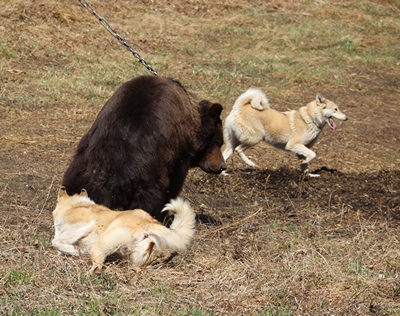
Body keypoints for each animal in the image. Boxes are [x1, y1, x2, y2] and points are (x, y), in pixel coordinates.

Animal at [52, 186, 196, 272]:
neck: (75, 205)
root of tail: (148, 222)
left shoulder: (83, 225)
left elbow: (56, 242)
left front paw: (73, 251)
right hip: (137, 256)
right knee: (139, 267)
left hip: (99, 246)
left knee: (97, 267)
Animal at [62, 75, 225, 221]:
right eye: (219, 142)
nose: (222, 166)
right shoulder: (179, 151)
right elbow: (175, 182)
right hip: (147, 178)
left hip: (80, 171)